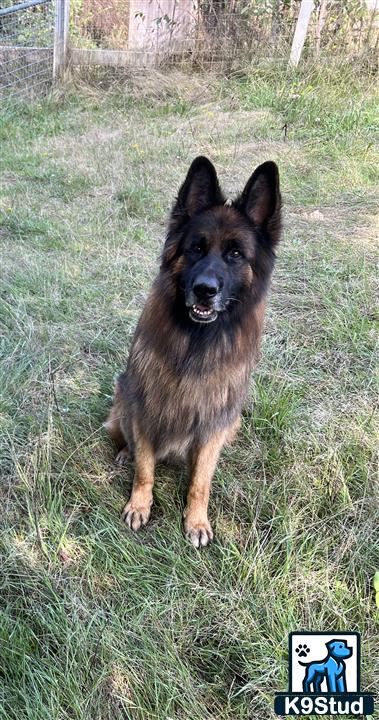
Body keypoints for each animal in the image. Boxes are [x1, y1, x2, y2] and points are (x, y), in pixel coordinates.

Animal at [105, 156, 280, 544]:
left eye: (235, 254)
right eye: (196, 248)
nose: (205, 289)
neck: (195, 344)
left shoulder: (215, 423)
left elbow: (200, 481)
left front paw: (197, 521)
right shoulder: (145, 407)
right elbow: (145, 468)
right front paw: (139, 505)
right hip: (122, 395)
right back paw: (124, 452)